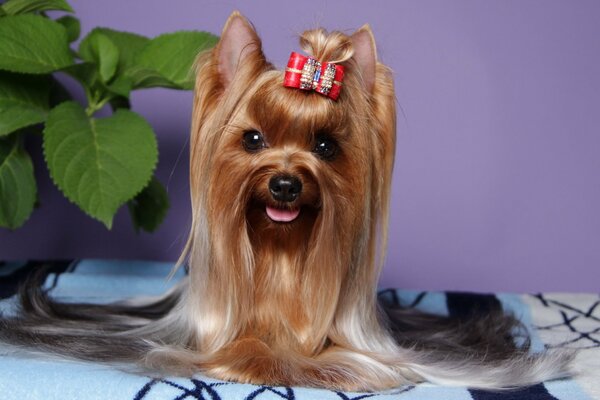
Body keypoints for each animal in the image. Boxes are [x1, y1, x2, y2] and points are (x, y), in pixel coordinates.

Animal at [0, 11, 572, 390]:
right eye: (253, 139)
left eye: (326, 146)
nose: (284, 184)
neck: (281, 252)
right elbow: (241, 348)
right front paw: (262, 356)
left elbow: (361, 359)